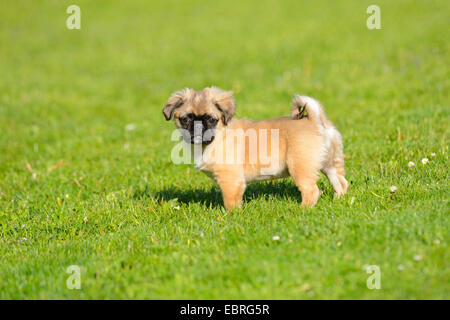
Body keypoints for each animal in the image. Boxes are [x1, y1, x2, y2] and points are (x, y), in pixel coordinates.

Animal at [163, 87, 348, 210]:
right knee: (341, 183)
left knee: (312, 191)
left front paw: (230, 216)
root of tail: (315, 121)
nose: (197, 126)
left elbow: (231, 201)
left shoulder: (230, 180)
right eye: (186, 119)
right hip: (330, 164)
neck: (216, 139)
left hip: (301, 167)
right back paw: (339, 200)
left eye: (211, 119)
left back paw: (303, 208)